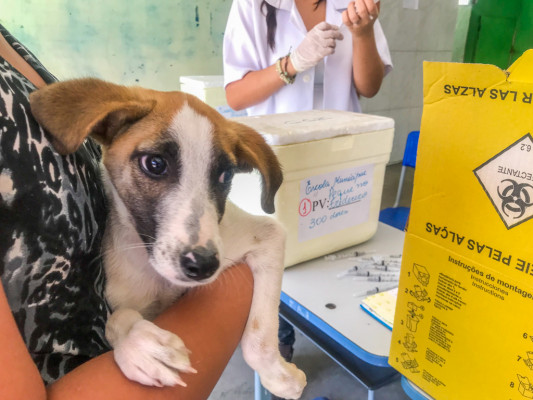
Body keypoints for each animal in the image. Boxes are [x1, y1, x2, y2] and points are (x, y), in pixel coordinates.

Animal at [29, 78, 306, 399]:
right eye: (155, 164)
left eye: (225, 176)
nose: (203, 266)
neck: (158, 275)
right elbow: (116, 318)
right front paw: (139, 343)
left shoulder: (266, 235)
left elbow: (261, 332)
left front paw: (278, 375)